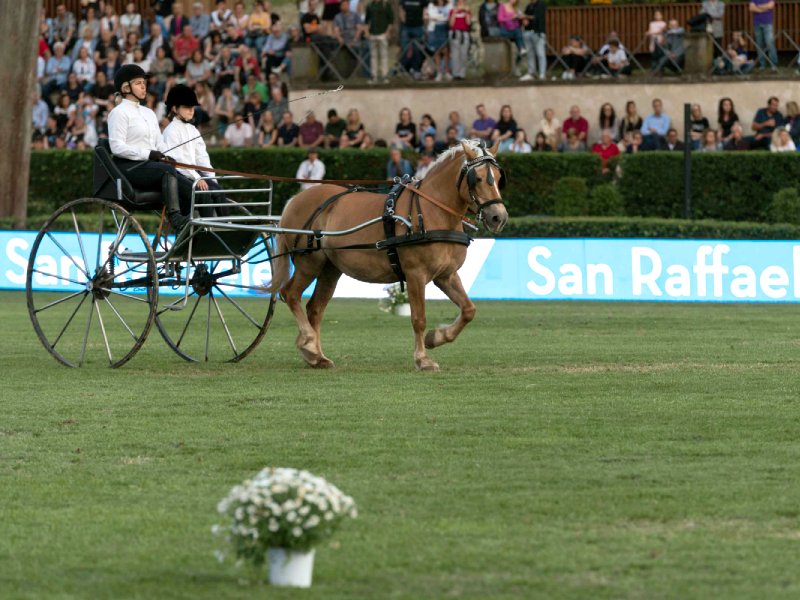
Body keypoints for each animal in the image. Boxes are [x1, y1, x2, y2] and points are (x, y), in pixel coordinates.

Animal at [268, 139, 509, 371]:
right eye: (477, 178)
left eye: (498, 178)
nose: (498, 217)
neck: (431, 212)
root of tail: (296, 199)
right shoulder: (415, 274)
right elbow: (418, 318)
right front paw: (423, 359)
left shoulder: (446, 275)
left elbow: (469, 309)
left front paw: (436, 337)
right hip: (309, 263)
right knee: (290, 294)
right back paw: (308, 342)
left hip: (330, 268)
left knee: (315, 308)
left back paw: (316, 357)